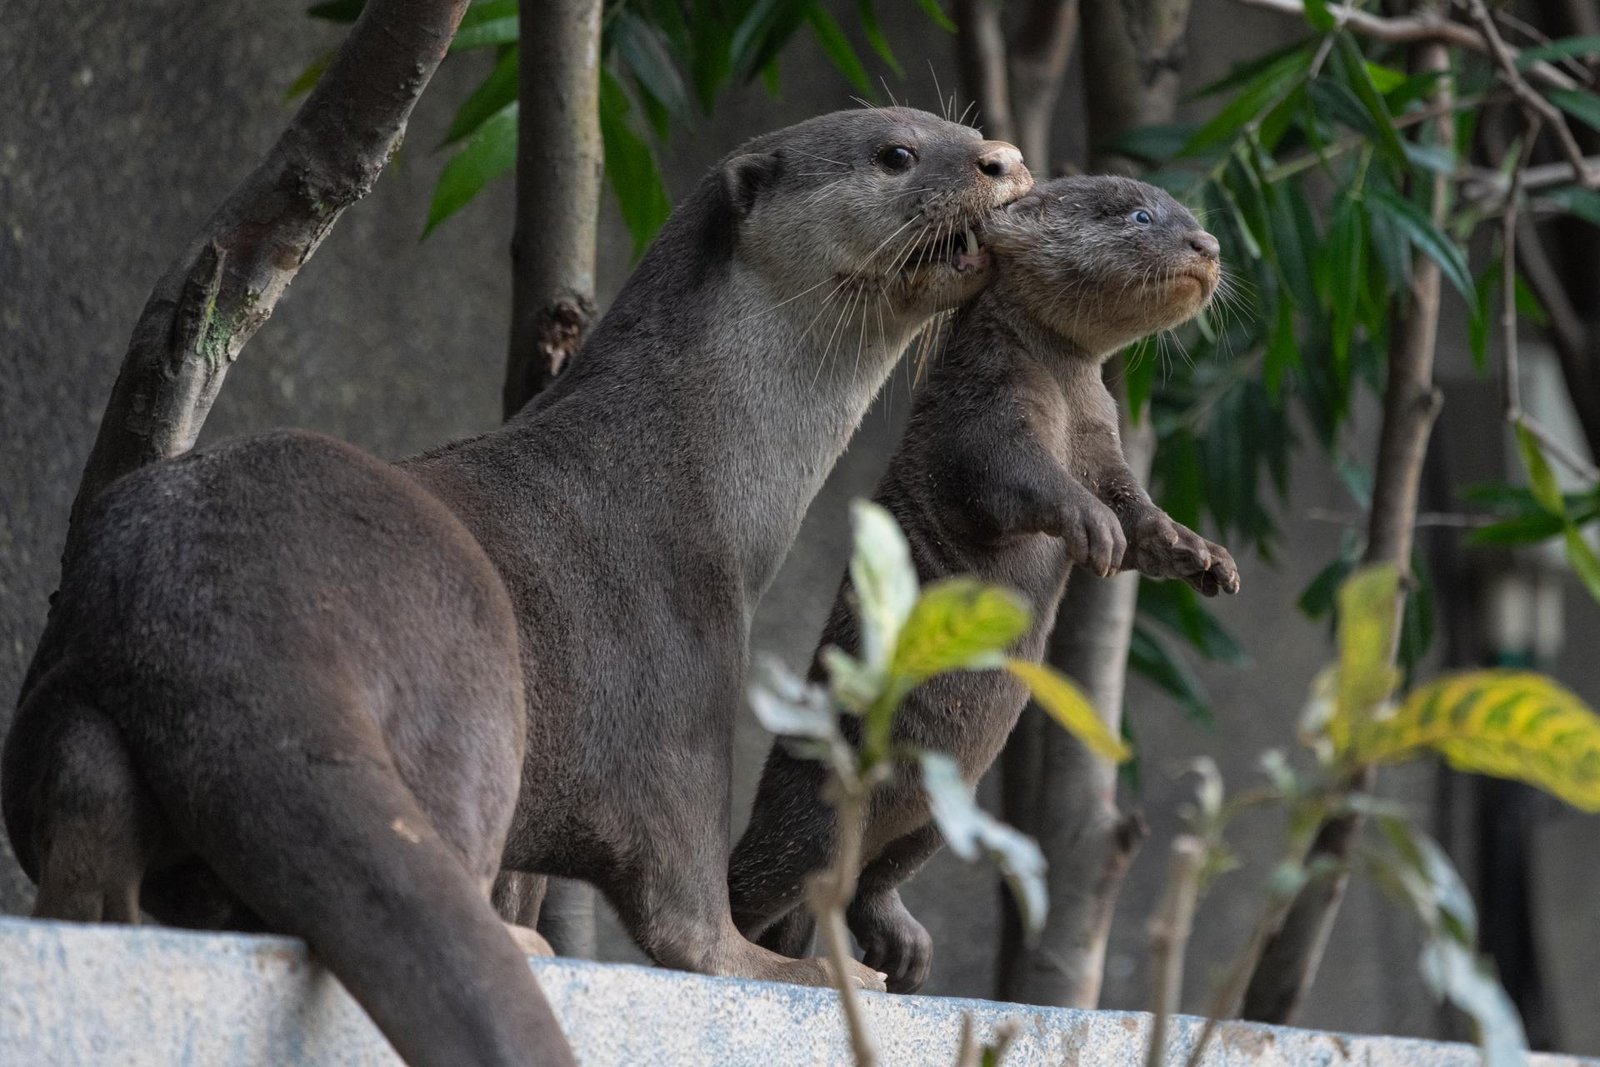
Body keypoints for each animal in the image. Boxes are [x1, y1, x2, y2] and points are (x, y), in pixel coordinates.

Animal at [3, 106, 1030, 1055]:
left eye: (962, 128)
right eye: (896, 153)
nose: (1006, 159)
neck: (686, 479)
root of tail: (231, 628)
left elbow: (538, 874)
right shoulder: (680, 679)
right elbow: (688, 919)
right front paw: (799, 965)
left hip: (72, 707)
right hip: (472, 684)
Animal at [727, 175, 1241, 994]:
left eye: (1191, 216)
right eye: (1139, 215)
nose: (1209, 245)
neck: (1061, 391)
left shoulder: (1105, 440)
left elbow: (1144, 520)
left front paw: (1202, 556)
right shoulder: (984, 408)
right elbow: (1015, 478)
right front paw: (1091, 523)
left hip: (941, 811)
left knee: (870, 879)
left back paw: (901, 946)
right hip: (811, 813)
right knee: (756, 875)